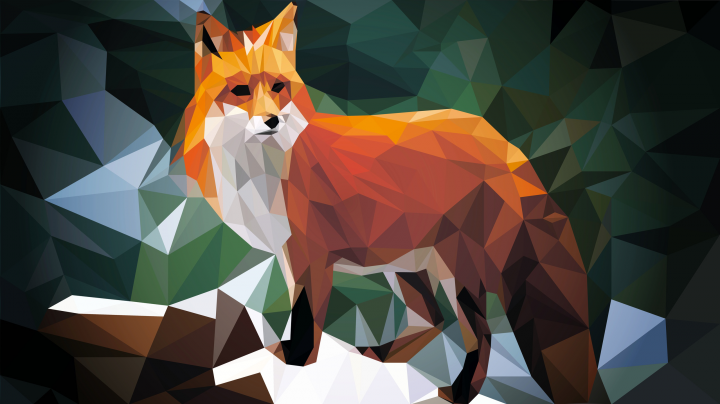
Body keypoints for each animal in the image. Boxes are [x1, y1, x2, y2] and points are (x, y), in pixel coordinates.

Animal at [41, 3, 596, 404]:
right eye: (240, 91)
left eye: (278, 87)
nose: (270, 120)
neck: (261, 174)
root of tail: (501, 140)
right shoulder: (290, 256)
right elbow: (299, 311)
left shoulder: (311, 252)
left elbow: (307, 317)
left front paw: (294, 365)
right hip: (407, 263)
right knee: (431, 319)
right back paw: (383, 357)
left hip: (457, 269)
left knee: (479, 337)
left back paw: (458, 393)